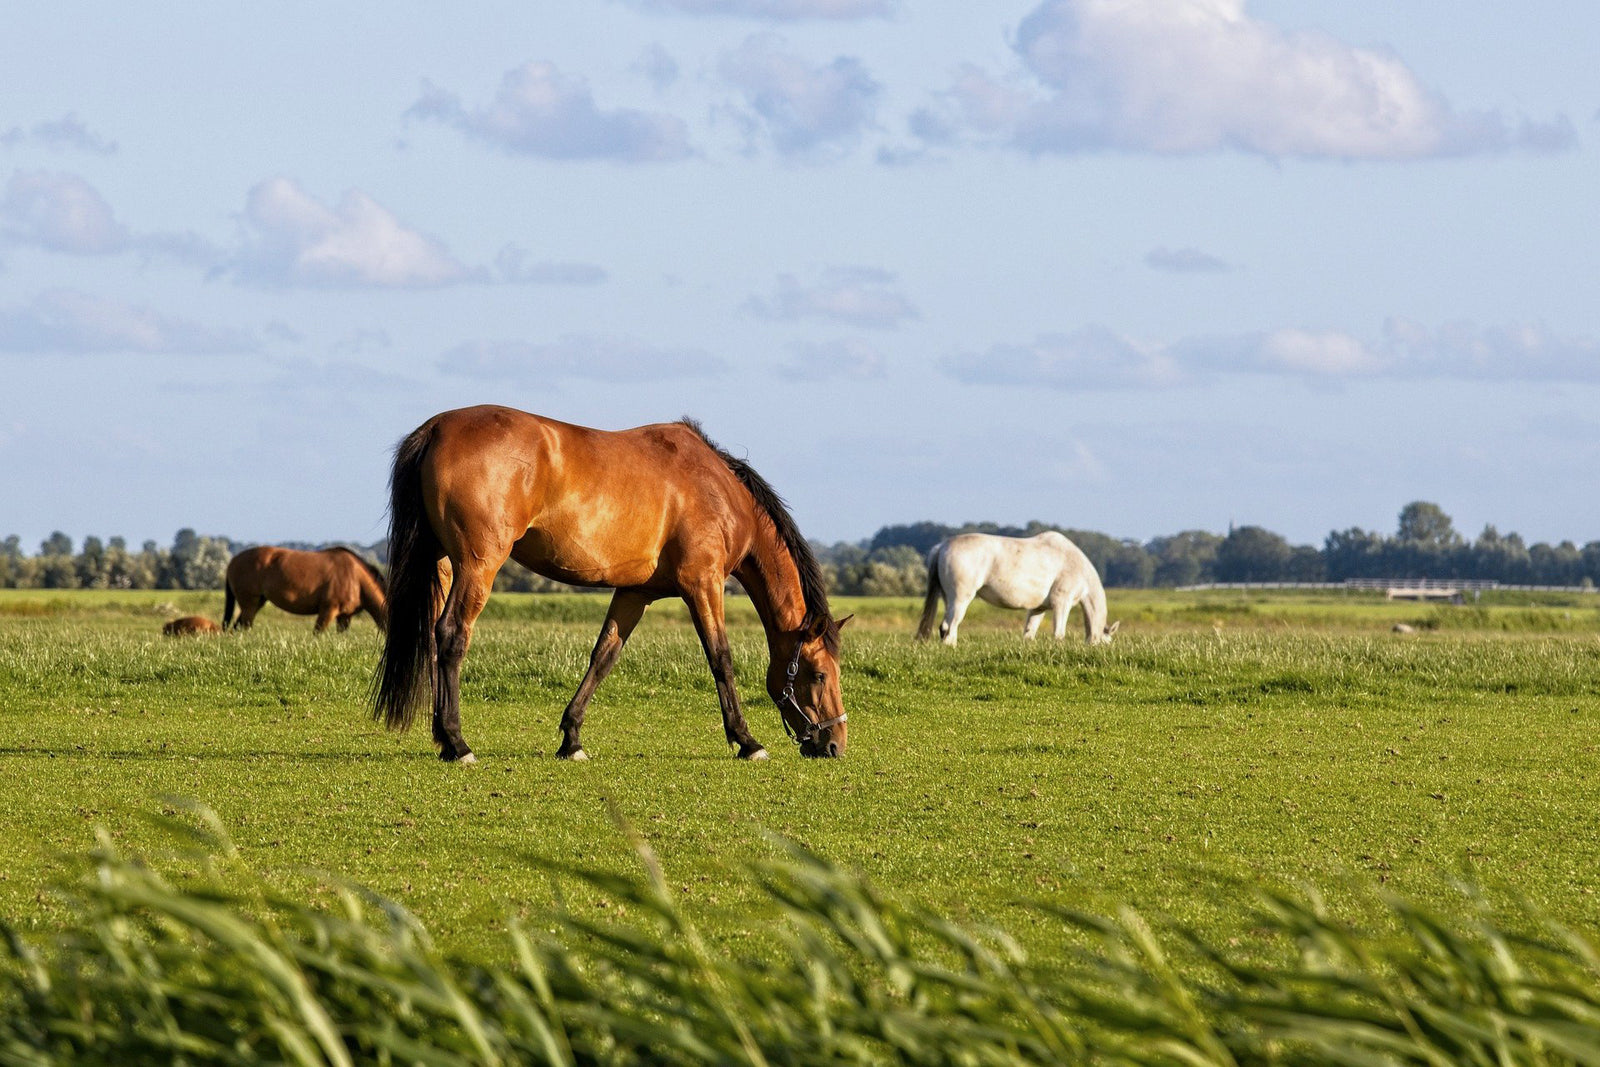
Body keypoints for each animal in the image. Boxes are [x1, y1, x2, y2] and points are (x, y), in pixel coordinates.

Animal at [222, 547, 387, 630]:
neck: (355, 578)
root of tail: (233, 561)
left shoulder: (345, 617)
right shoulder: (328, 610)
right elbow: (318, 634)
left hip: (257, 603)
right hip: (249, 604)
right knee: (243, 627)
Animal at [371, 404, 851, 764]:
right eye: (820, 674)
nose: (833, 745)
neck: (719, 491)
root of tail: (436, 428)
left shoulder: (636, 593)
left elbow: (603, 658)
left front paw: (571, 739)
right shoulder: (703, 584)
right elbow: (721, 658)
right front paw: (747, 742)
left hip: (441, 565)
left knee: (435, 640)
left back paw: (444, 739)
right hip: (477, 565)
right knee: (452, 636)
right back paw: (457, 743)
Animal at [921, 531, 1120, 646]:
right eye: (1107, 643)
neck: (1077, 566)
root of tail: (942, 547)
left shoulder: (1038, 609)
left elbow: (1029, 633)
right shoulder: (1062, 603)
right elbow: (1059, 633)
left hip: (948, 599)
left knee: (947, 627)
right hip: (960, 600)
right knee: (950, 626)